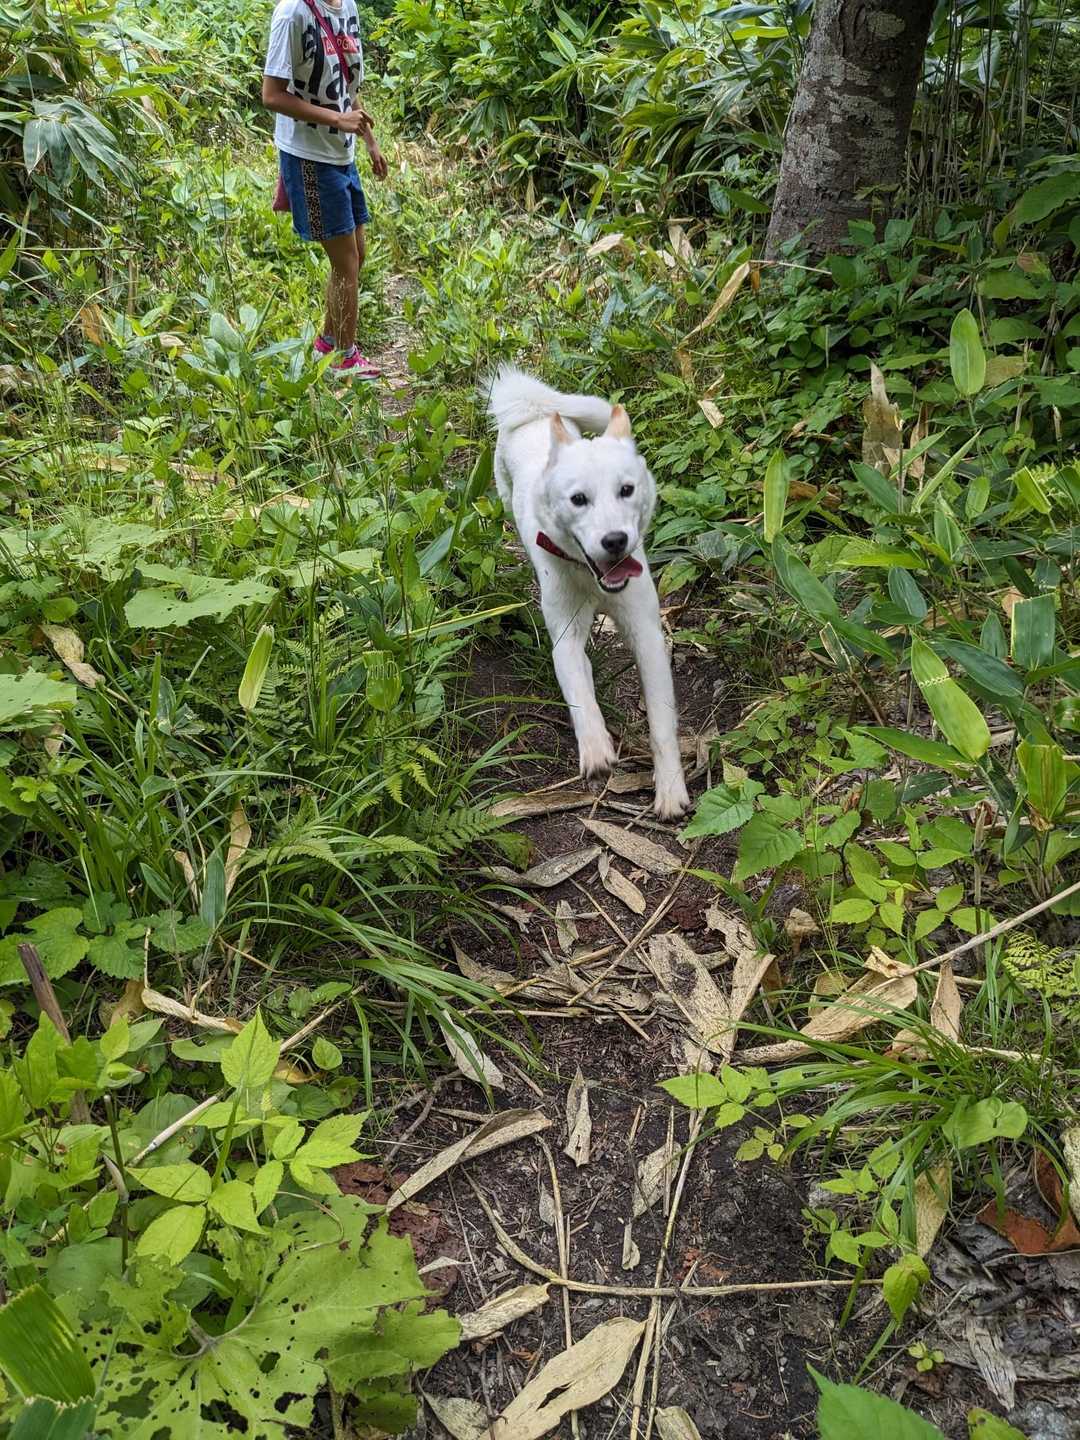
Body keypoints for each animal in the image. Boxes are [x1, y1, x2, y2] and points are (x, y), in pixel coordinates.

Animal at [487, 366, 690, 820]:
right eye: (578, 499)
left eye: (627, 490)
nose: (615, 540)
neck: (592, 577)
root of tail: (534, 410)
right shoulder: (565, 637)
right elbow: (580, 693)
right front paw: (596, 747)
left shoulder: (648, 636)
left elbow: (662, 723)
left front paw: (670, 788)